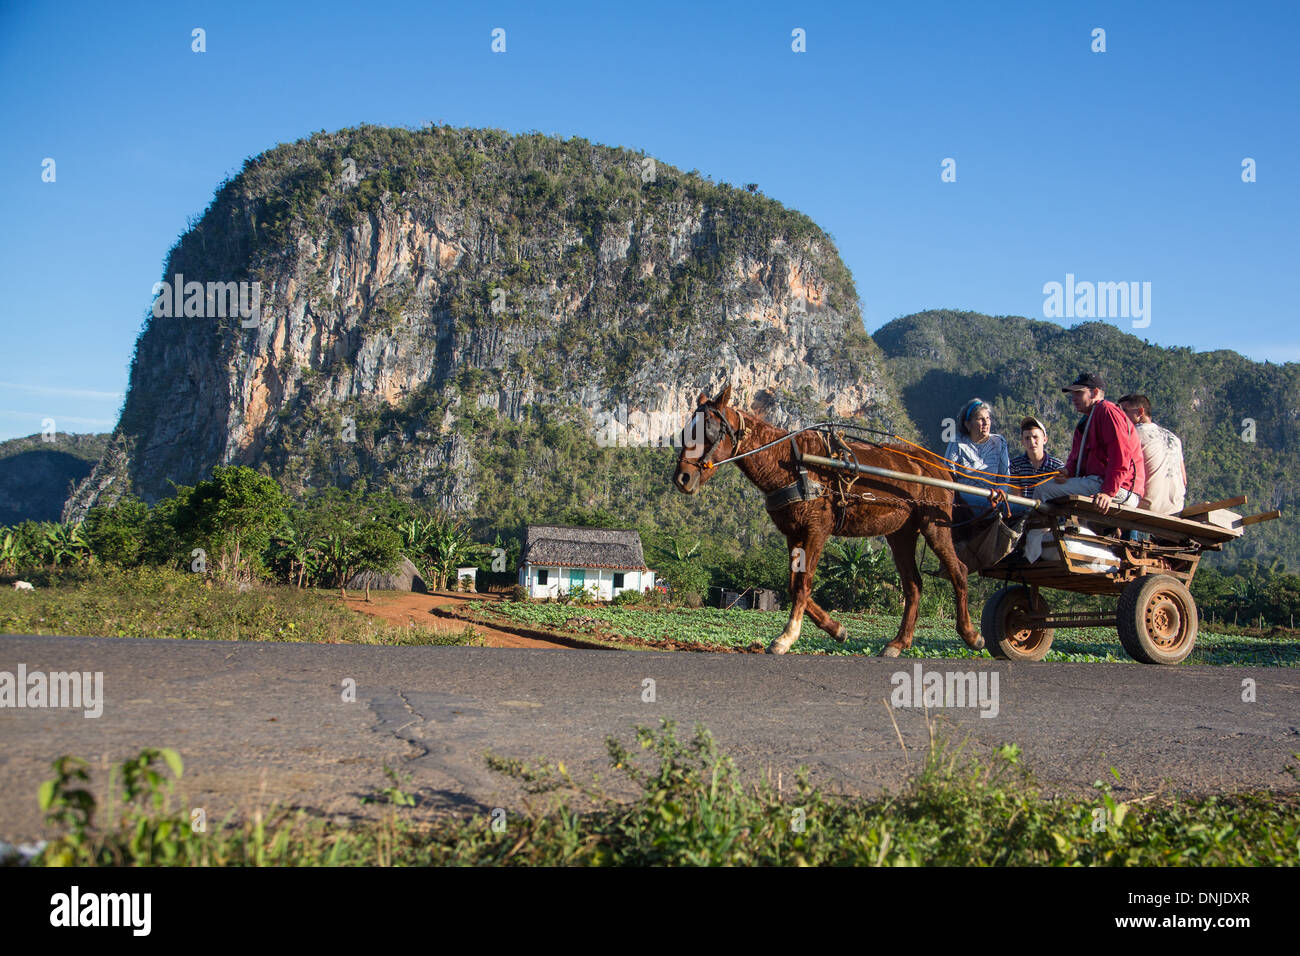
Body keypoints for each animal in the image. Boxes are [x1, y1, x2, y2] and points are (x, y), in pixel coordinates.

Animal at [670, 385, 982, 655]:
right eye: (686, 430)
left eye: (708, 430)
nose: (682, 478)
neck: (791, 463)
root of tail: (939, 466)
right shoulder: (793, 533)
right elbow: (793, 585)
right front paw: (836, 629)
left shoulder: (816, 530)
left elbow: (803, 583)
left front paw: (787, 636)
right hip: (901, 532)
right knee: (914, 585)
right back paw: (899, 642)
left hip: (934, 525)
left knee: (959, 572)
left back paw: (971, 634)